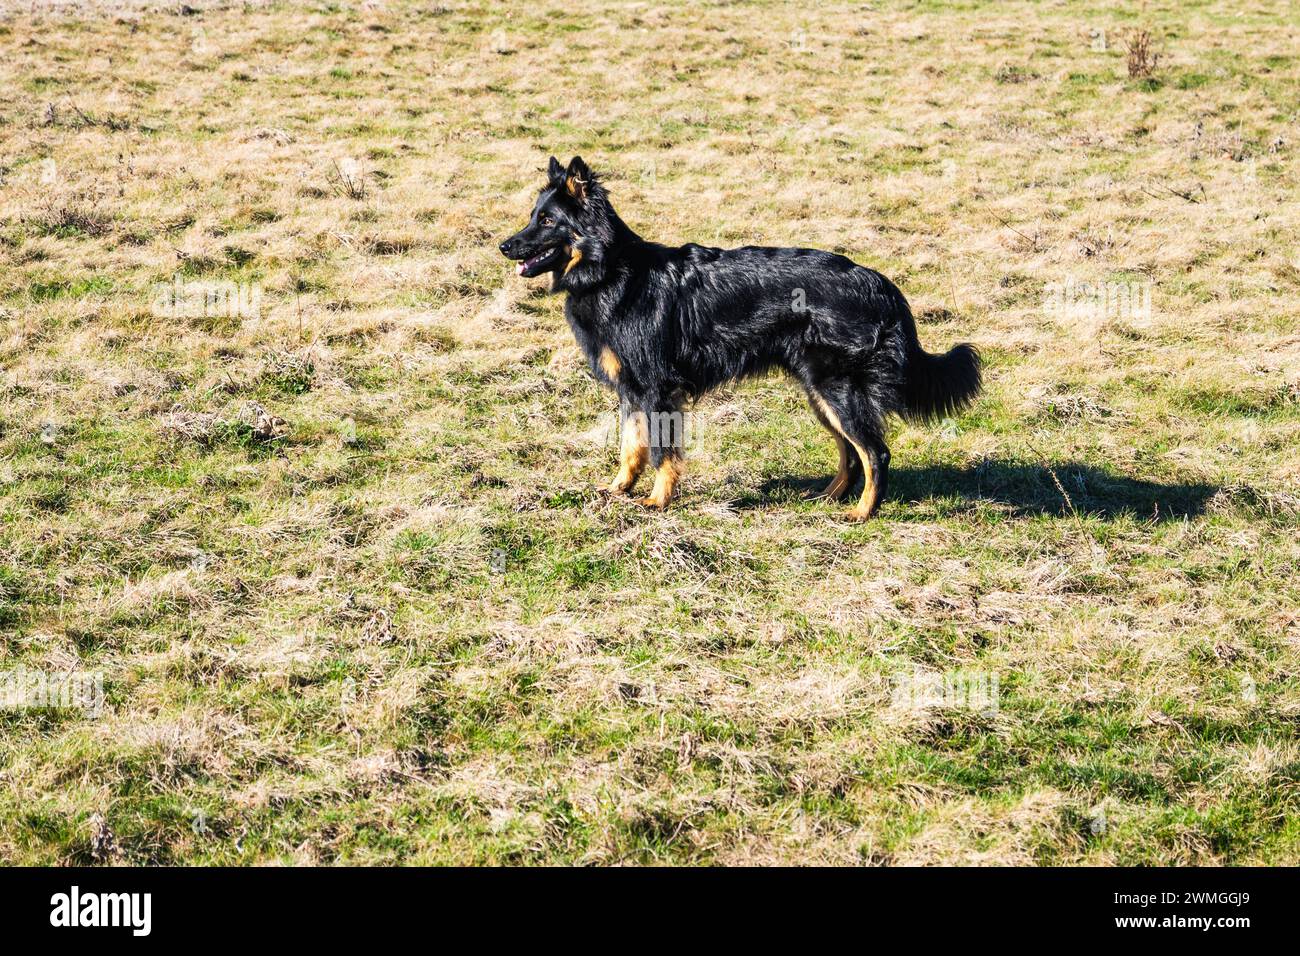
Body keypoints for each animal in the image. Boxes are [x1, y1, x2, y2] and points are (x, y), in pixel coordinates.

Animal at [501, 156, 977, 520]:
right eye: (532, 216)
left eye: (547, 220)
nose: (504, 246)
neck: (611, 270)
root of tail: (880, 283)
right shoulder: (631, 390)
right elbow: (630, 447)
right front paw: (619, 489)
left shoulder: (656, 389)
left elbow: (660, 451)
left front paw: (657, 501)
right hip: (819, 394)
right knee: (850, 451)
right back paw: (827, 497)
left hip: (836, 389)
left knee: (875, 453)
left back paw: (862, 512)